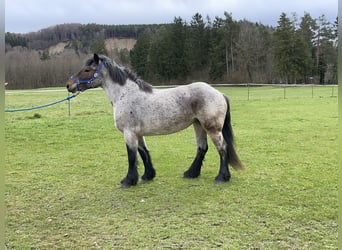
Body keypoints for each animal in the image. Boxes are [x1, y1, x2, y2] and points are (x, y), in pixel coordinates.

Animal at [66, 53, 243, 187]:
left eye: (87, 69)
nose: (69, 85)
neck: (125, 95)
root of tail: (219, 93)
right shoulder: (137, 133)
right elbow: (143, 152)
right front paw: (147, 175)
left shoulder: (129, 133)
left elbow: (132, 156)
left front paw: (128, 181)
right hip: (198, 125)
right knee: (202, 148)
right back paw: (191, 173)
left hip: (212, 128)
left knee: (222, 148)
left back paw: (222, 177)